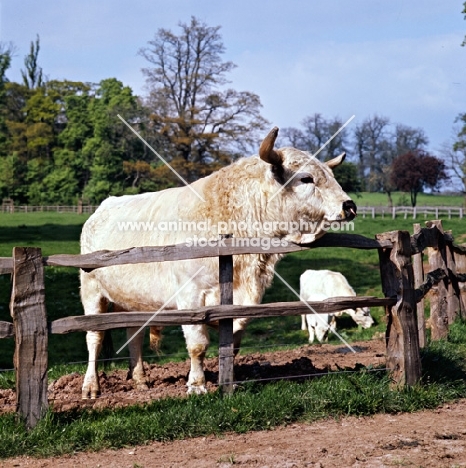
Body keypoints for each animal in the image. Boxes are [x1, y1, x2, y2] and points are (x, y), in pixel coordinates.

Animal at [80, 126, 356, 396]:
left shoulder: (241, 303)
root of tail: (101, 208)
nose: (350, 205)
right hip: (91, 291)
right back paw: (90, 387)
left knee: (133, 335)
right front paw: (197, 385)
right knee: (94, 337)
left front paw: (229, 383)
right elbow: (197, 346)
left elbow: (232, 345)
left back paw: (139, 380)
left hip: (132, 299)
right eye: (306, 178)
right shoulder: (190, 296)